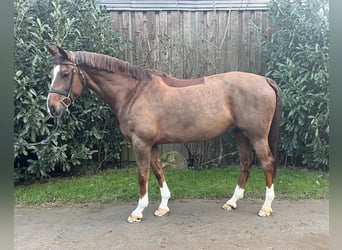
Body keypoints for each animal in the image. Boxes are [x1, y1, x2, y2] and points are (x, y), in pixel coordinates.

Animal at [46, 46, 280, 223]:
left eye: (65, 74)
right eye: (51, 74)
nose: (52, 108)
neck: (134, 92)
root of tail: (264, 80)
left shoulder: (141, 143)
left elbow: (143, 174)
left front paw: (138, 212)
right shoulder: (154, 144)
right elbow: (158, 170)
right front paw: (163, 207)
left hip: (256, 136)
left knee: (267, 163)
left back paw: (266, 207)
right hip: (240, 134)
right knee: (246, 162)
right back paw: (232, 202)